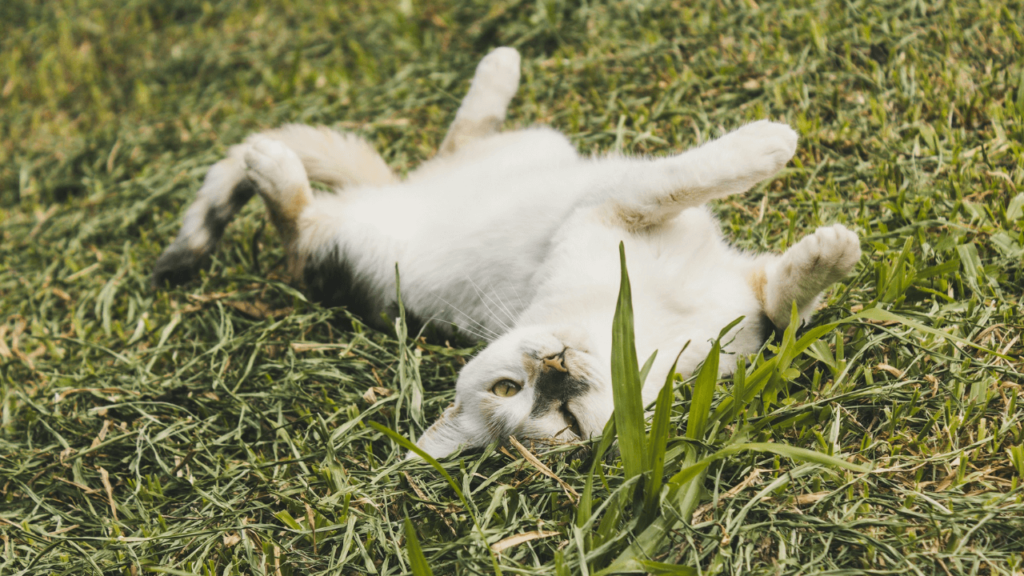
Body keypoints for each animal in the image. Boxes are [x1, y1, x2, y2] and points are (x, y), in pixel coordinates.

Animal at [153, 45, 856, 457]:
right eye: (555, 416)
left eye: (508, 386)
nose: (556, 369)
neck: (648, 325)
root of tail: (397, 193)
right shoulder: (615, 205)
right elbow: (682, 177)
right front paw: (768, 145)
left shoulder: (732, 294)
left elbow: (786, 301)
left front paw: (825, 254)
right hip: (346, 242)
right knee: (295, 226)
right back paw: (272, 165)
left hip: (519, 150)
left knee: (457, 141)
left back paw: (499, 67)